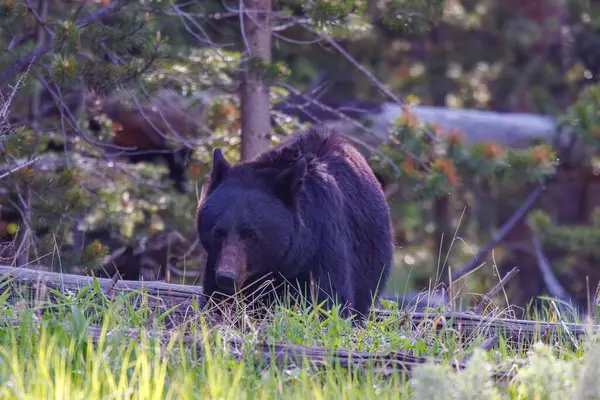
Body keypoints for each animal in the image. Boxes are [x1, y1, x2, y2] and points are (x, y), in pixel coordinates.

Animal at [196, 125, 394, 318]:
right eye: (217, 232)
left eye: (251, 235)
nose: (226, 276)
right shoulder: (215, 260)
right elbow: (217, 301)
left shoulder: (323, 245)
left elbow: (328, 299)